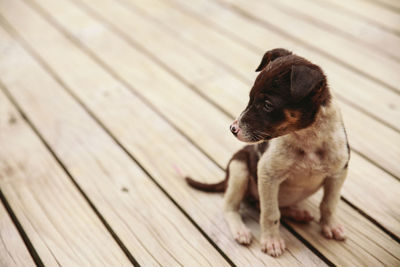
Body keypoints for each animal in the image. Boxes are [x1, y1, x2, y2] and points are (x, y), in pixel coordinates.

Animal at [186, 48, 348, 258]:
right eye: (250, 97)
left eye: (268, 105)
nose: (232, 128)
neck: (307, 139)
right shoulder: (267, 174)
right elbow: (270, 213)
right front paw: (272, 241)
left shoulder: (338, 173)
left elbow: (329, 204)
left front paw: (331, 226)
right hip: (239, 169)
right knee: (230, 206)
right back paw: (240, 231)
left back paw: (297, 213)